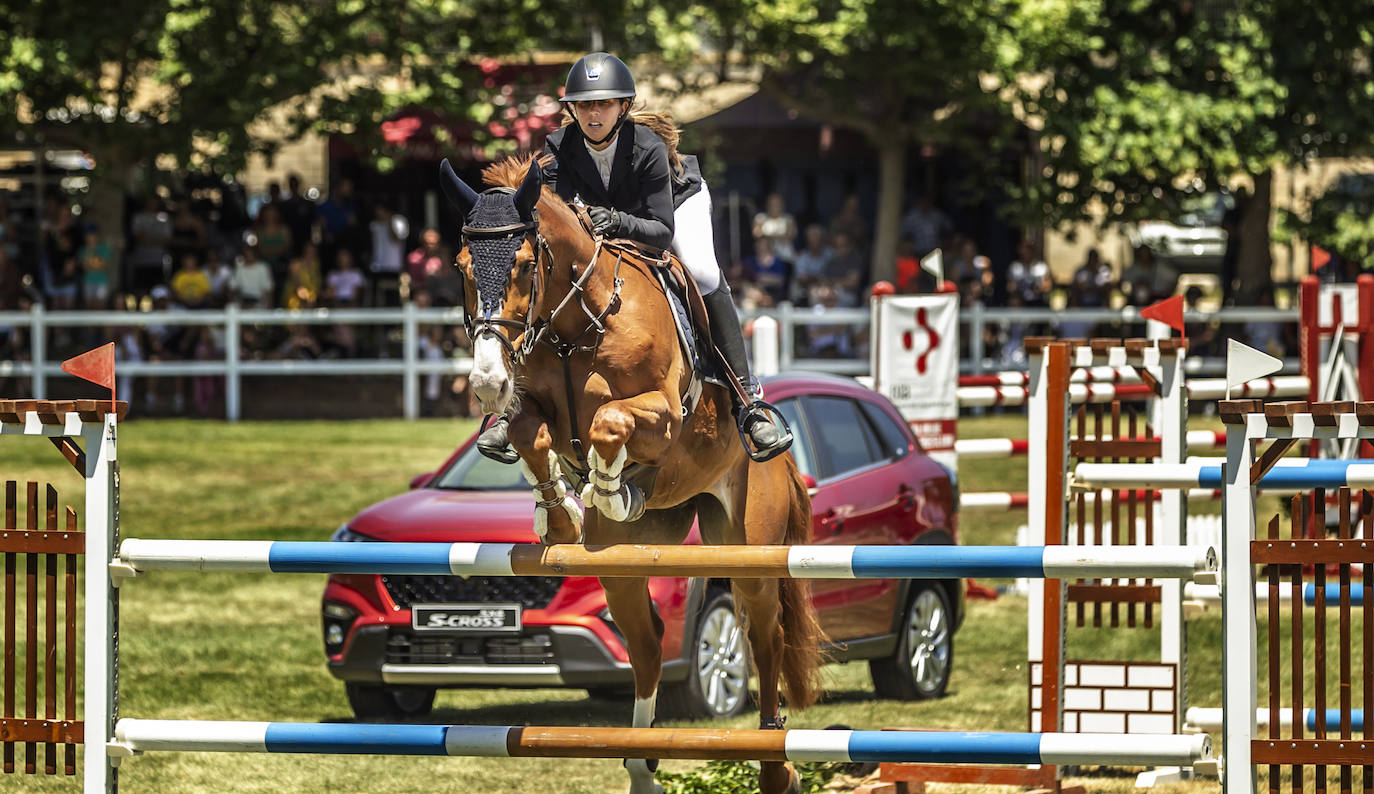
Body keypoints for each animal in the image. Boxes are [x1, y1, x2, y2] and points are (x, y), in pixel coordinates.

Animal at [445, 154, 818, 791]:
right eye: (463, 268)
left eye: (524, 265)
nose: (487, 381)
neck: (576, 327)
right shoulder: (533, 403)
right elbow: (527, 431)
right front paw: (561, 514)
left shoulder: (663, 413)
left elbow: (609, 421)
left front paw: (608, 485)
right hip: (622, 565)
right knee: (646, 645)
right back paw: (641, 765)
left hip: (748, 549)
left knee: (764, 636)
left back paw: (775, 767)